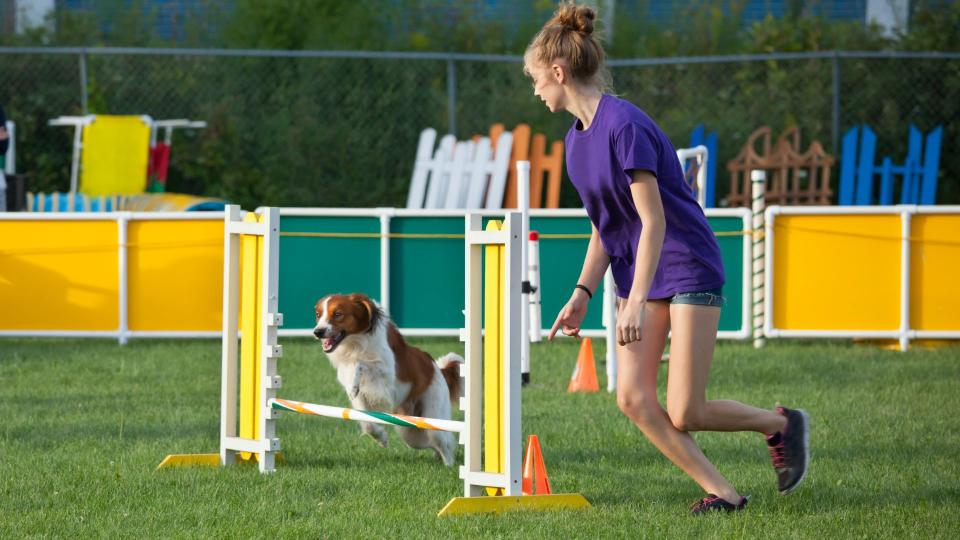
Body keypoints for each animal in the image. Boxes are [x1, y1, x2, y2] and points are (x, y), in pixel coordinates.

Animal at [314, 294, 464, 466]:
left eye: (338, 314)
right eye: (318, 315)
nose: (317, 332)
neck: (356, 344)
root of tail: (439, 370)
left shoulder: (387, 374)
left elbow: (359, 362)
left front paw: (354, 380)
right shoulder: (360, 397)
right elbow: (367, 423)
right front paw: (381, 438)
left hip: (432, 416)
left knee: (444, 442)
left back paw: (449, 465)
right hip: (409, 430)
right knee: (430, 443)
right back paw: (438, 457)